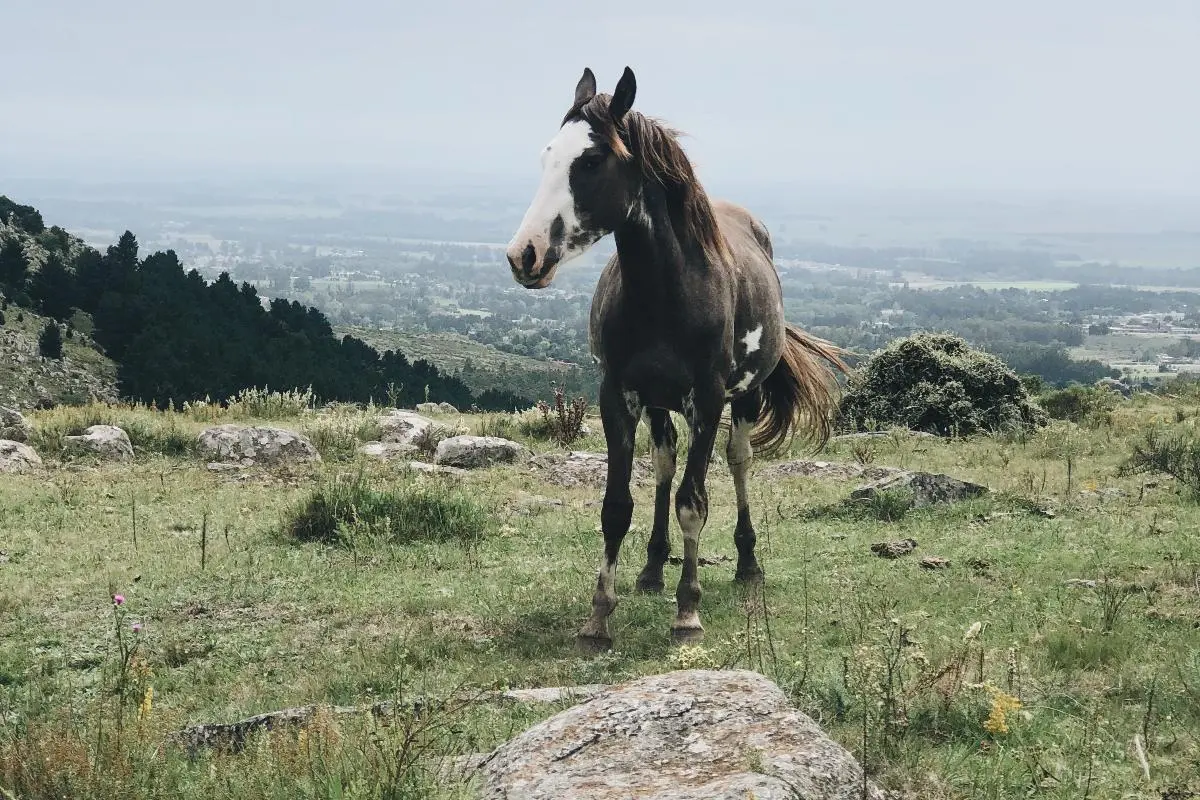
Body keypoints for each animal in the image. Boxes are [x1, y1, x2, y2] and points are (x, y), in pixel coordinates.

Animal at [506, 67, 854, 652]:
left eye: (591, 160)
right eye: (547, 155)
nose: (523, 255)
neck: (667, 293)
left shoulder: (708, 400)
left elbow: (694, 502)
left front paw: (687, 611)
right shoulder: (618, 396)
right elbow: (617, 506)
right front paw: (599, 618)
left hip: (743, 398)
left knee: (737, 462)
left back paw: (747, 563)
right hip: (659, 403)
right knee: (666, 463)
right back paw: (651, 569)